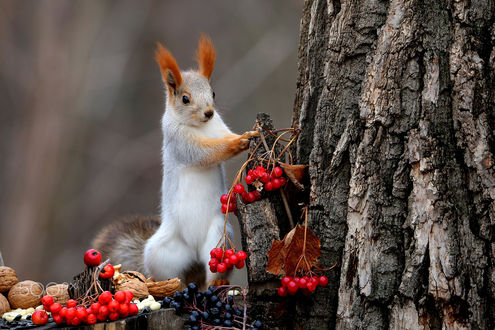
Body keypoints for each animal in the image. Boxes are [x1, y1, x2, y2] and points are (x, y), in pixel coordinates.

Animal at [93, 35, 262, 288]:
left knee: (211, 272)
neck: (201, 127)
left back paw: (216, 283)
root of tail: (194, 253)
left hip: (218, 239)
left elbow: (224, 137)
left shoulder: (219, 128)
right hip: (161, 253)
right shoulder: (180, 143)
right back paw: (168, 285)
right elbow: (206, 153)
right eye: (185, 99)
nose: (209, 112)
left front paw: (245, 136)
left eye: (213, 93)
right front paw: (240, 142)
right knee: (170, 276)